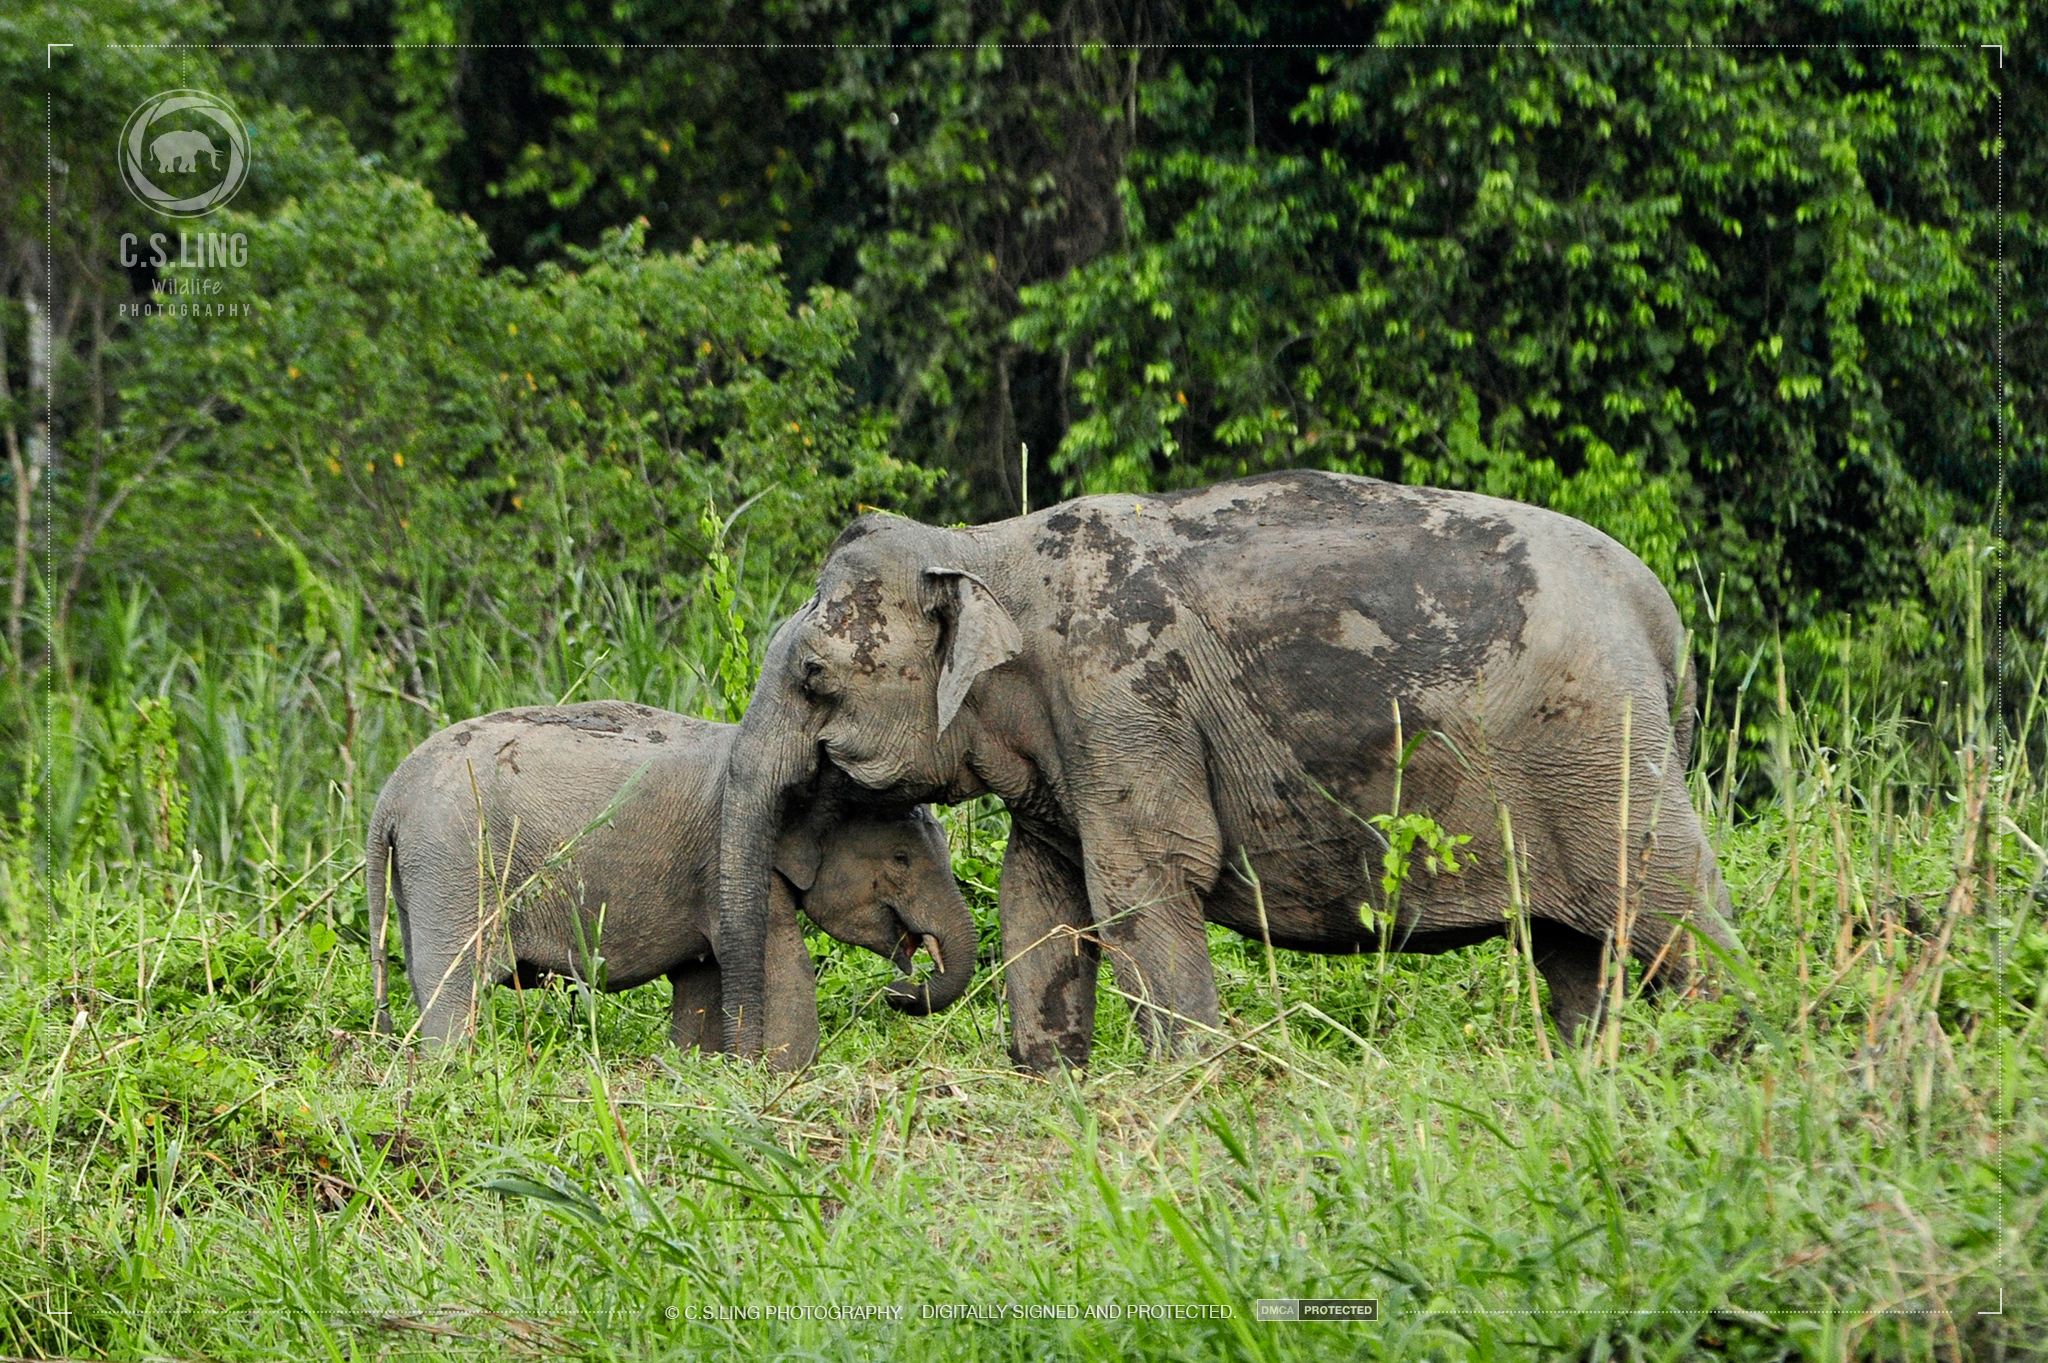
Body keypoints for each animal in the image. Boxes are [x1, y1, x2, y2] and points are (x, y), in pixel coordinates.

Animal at [366, 701, 976, 1068]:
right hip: (455, 863)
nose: (898, 991)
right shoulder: (733, 857)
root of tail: (389, 796)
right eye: (901, 859)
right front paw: (780, 1073)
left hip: (427, 872)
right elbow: (782, 964)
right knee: (454, 984)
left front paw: (691, 1068)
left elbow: (701, 979)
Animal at [716, 469, 1738, 1070]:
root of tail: (1662, 616)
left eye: (814, 675)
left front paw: (1185, 1081)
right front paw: (1055, 1078)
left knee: (1672, 909)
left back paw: (1729, 1049)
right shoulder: (1068, 740)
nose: (900, 984)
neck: (979, 544)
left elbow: (1144, 877)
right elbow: (1038, 893)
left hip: (1603, 746)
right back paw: (1592, 1067)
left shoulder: (1122, 694)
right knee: (1580, 949)